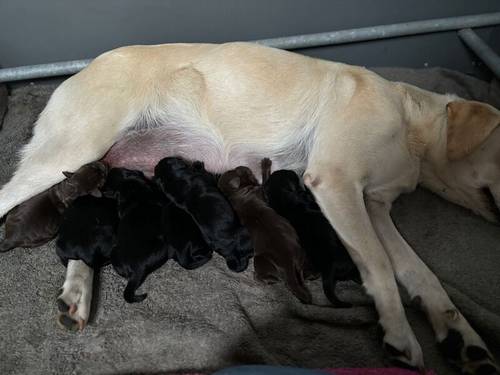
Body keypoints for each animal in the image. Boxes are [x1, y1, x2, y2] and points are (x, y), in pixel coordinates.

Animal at [217, 162, 310, 306]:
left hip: (300, 253)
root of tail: (287, 263)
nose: (242, 166)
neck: (236, 194)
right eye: (241, 172)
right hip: (261, 259)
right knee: (274, 278)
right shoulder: (262, 192)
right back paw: (260, 278)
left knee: (299, 275)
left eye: (235, 170)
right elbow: (265, 179)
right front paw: (265, 163)